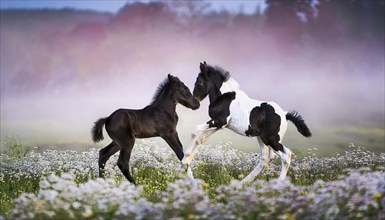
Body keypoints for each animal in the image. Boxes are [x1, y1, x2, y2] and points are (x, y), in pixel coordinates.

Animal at [182, 62, 310, 186]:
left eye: (199, 82)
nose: (195, 102)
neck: (224, 98)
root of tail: (284, 114)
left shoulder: (219, 121)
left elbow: (195, 130)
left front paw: (185, 158)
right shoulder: (219, 125)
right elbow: (200, 139)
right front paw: (185, 162)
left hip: (270, 139)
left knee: (286, 155)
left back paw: (277, 185)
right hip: (262, 138)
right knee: (266, 159)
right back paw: (241, 184)